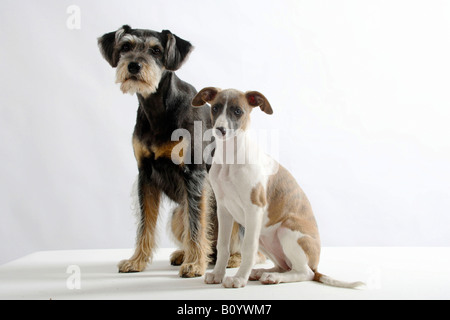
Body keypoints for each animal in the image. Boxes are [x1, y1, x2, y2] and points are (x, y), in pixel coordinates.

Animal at [97, 25, 241, 276]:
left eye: (156, 50)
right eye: (125, 46)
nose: (134, 66)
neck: (158, 109)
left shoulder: (194, 173)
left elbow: (196, 222)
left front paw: (195, 264)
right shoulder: (145, 174)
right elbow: (145, 223)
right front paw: (137, 261)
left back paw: (229, 258)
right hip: (176, 215)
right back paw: (187, 254)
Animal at [192, 87, 364, 288]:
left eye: (238, 111)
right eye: (216, 108)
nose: (220, 130)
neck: (231, 159)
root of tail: (316, 265)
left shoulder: (254, 208)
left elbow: (248, 248)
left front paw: (239, 278)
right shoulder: (224, 209)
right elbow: (223, 245)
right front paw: (218, 274)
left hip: (286, 230)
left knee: (305, 273)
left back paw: (274, 277)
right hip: (263, 236)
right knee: (285, 266)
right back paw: (263, 273)